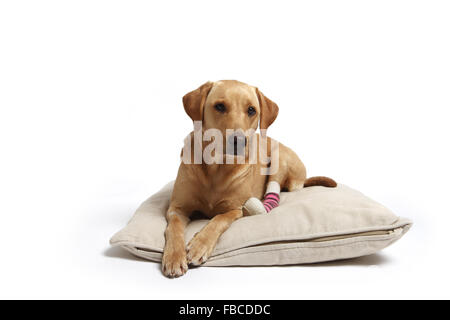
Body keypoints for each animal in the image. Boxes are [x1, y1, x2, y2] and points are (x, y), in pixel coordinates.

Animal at [162, 80, 334, 278]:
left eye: (251, 110)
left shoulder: (235, 209)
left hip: (279, 156)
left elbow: (218, 219)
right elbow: (174, 227)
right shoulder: (177, 208)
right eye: (219, 106)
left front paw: (200, 245)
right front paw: (174, 257)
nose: (238, 141)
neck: (216, 168)